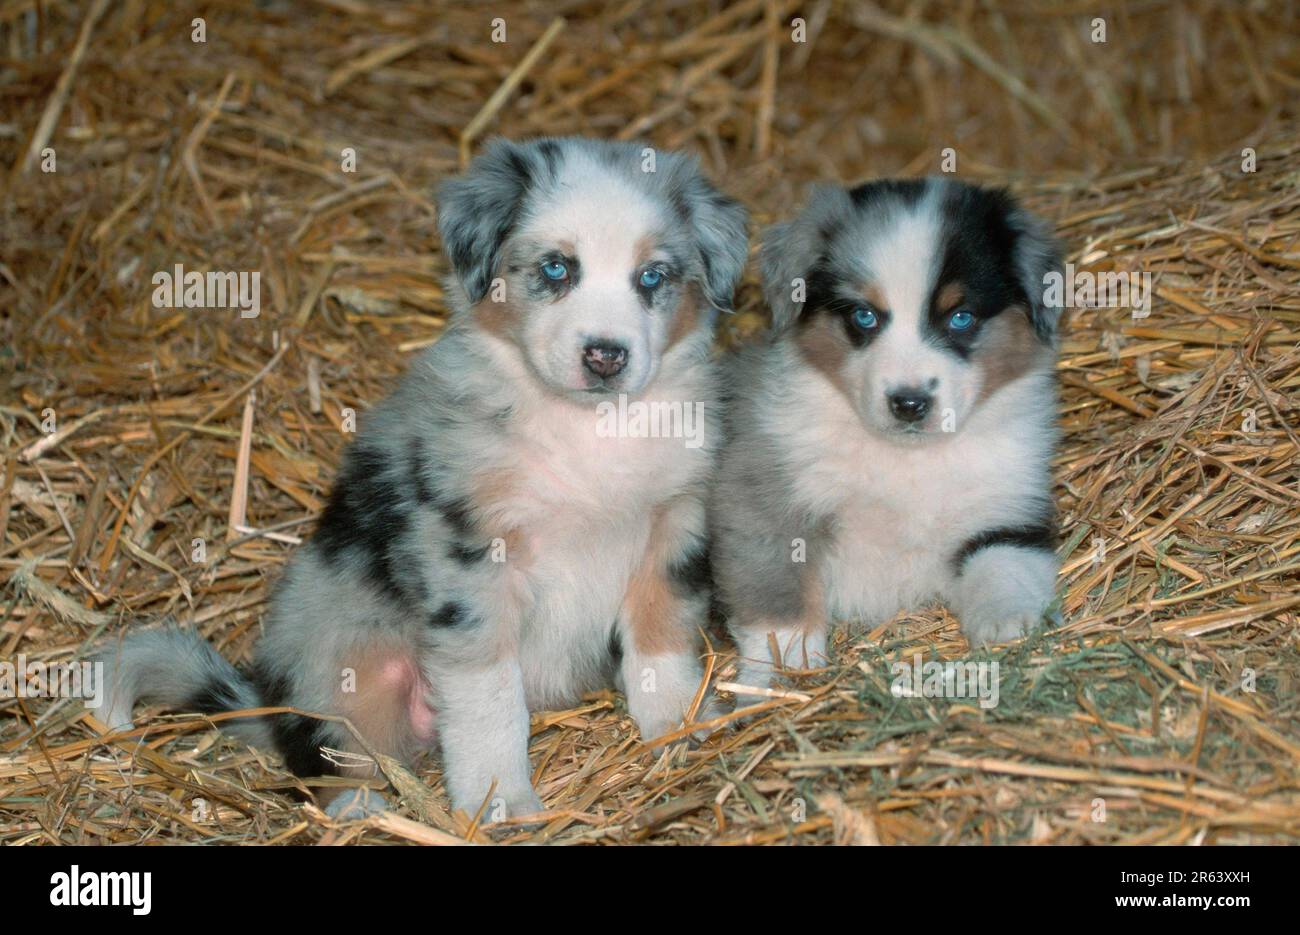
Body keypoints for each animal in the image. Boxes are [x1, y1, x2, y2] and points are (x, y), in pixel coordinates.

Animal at [96, 139, 748, 821]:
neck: (587, 427)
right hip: (351, 663)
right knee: (334, 754)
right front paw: (501, 801)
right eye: (555, 269)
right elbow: (489, 697)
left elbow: (661, 644)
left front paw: (680, 726)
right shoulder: (468, 558)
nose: (605, 356)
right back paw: (362, 813)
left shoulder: (673, 526)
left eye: (651, 277)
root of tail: (268, 701)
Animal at [712, 179, 1066, 697]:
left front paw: (1009, 628)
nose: (909, 403)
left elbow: (1006, 563)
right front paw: (784, 669)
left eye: (961, 318)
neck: (906, 459)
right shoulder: (762, 504)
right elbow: (777, 596)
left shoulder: (1009, 509)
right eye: (864, 317)